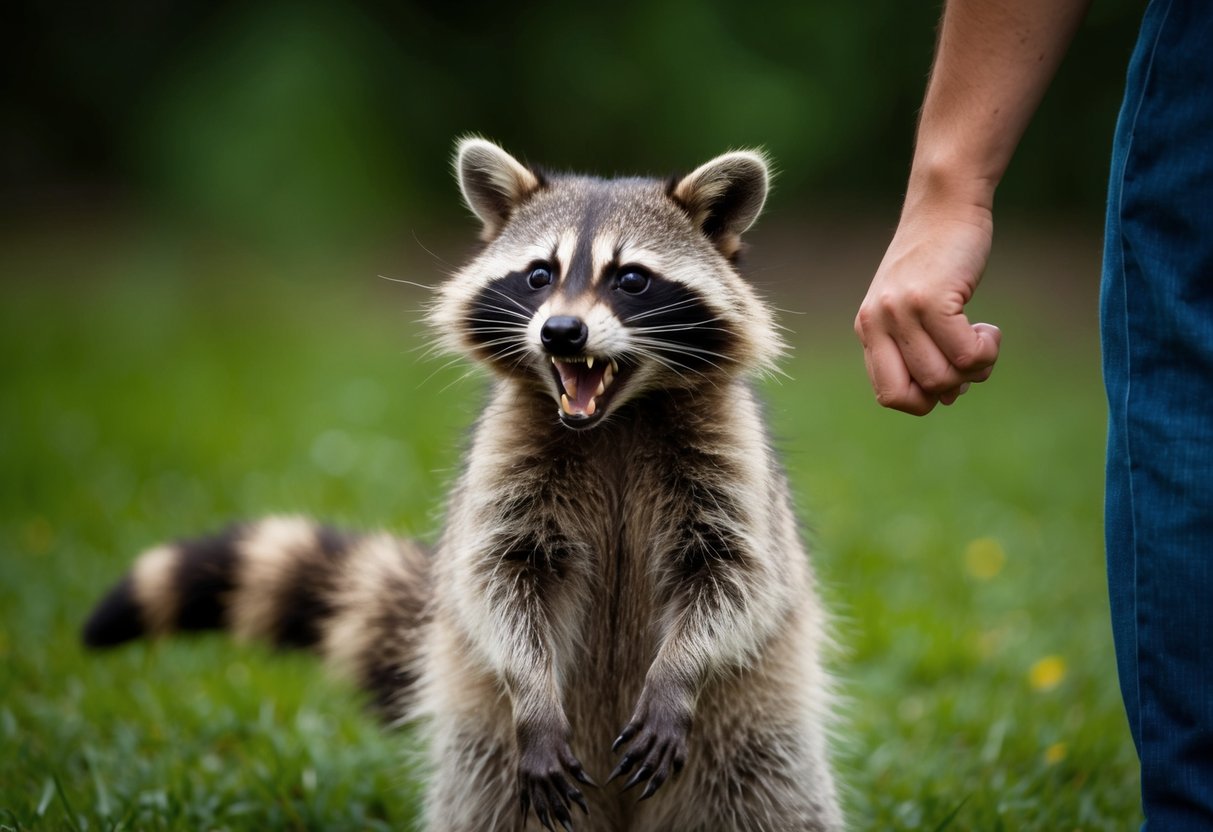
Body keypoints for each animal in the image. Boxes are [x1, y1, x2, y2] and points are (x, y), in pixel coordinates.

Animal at [83, 139, 842, 832]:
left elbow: (738, 576)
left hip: (750, 741)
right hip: (485, 752)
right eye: (539, 274)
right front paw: (532, 694)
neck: (614, 420)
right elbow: (498, 581)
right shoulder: (505, 460)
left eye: (631, 279)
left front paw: (677, 674)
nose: (562, 333)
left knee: (766, 801)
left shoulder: (732, 463)